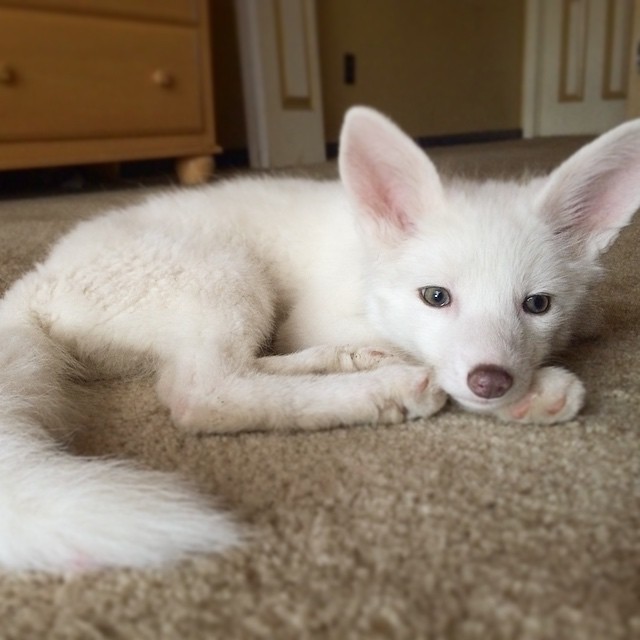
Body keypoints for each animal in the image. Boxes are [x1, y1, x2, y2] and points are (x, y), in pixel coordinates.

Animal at [0, 106, 638, 572]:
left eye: (537, 304)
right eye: (436, 296)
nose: (493, 382)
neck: (365, 264)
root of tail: (36, 282)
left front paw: (524, 390)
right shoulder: (314, 316)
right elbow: (433, 363)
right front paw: (497, 390)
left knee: (235, 368)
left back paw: (352, 361)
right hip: (228, 276)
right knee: (204, 391)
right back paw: (381, 387)